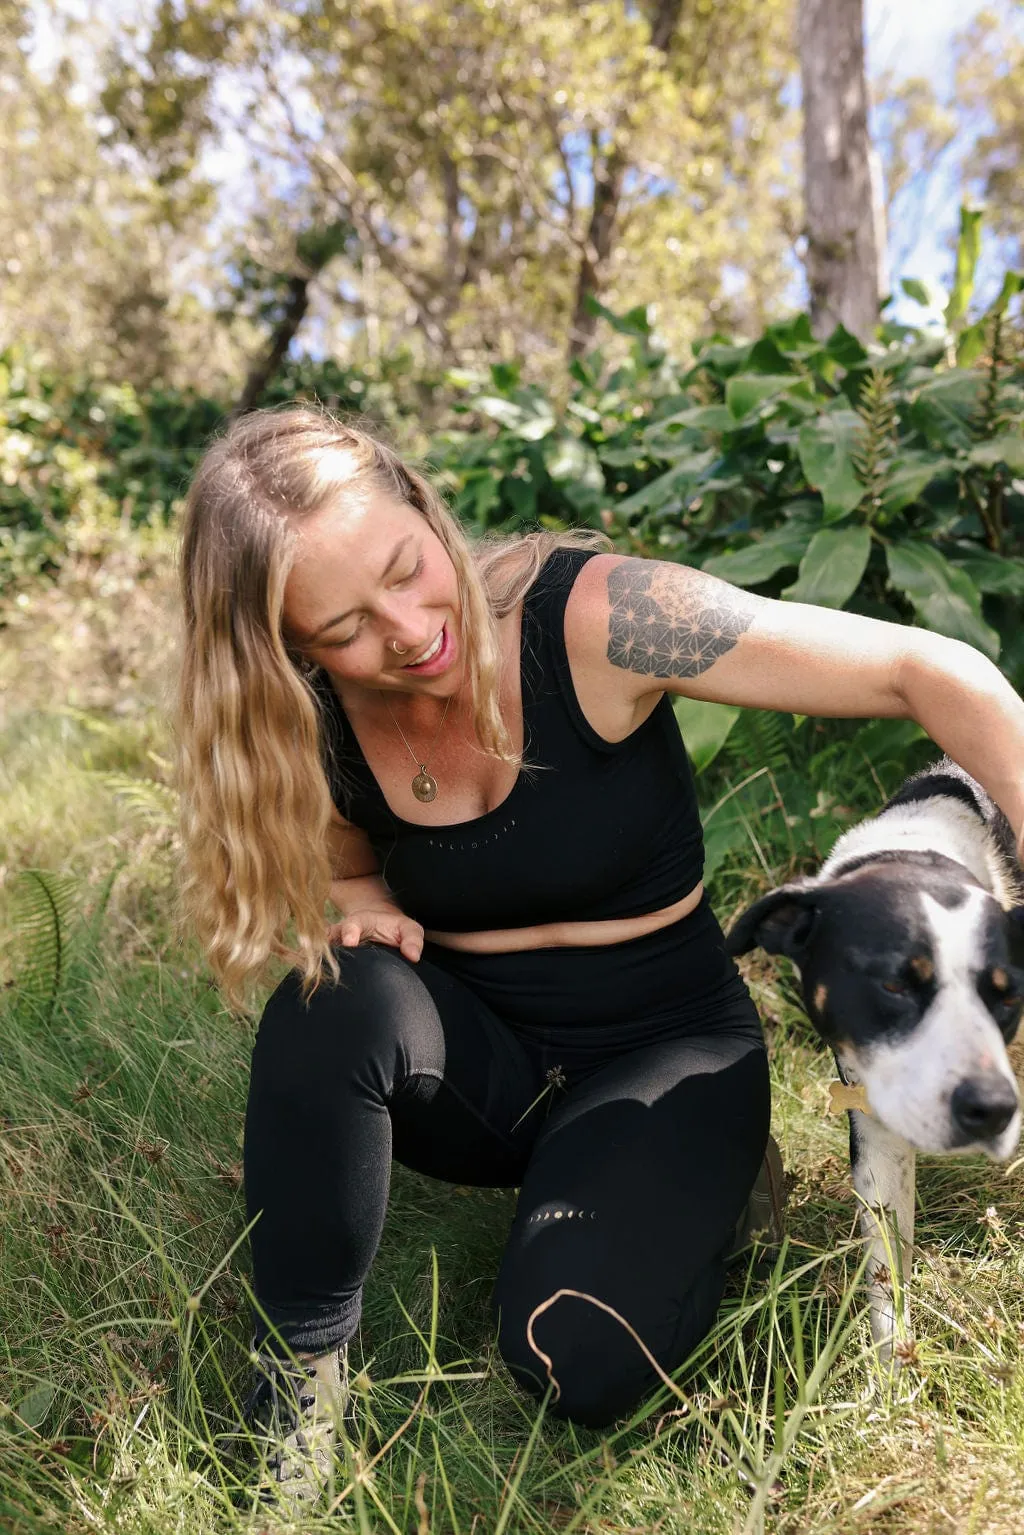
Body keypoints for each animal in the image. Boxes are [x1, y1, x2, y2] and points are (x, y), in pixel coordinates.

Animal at [727, 761, 1024, 1363]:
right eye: (892, 984)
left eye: (1006, 996)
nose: (991, 1110)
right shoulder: (875, 1127)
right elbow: (886, 1278)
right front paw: (892, 1375)